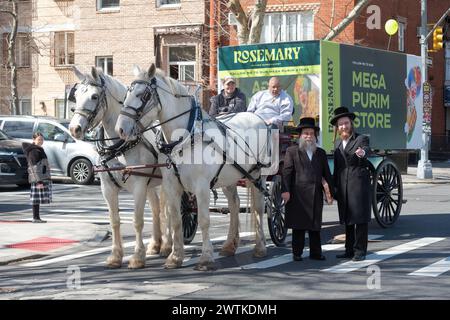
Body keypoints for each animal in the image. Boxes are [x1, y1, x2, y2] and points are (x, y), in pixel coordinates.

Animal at [68, 67, 172, 270]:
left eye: (94, 96)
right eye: (75, 96)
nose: (74, 128)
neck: (117, 147)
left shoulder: (138, 186)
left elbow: (137, 221)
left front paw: (137, 257)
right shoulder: (107, 188)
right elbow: (115, 220)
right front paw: (115, 256)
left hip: (164, 182)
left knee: (166, 210)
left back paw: (167, 246)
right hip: (150, 184)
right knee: (156, 209)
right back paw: (155, 245)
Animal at [116, 64, 270, 270]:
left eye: (144, 95)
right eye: (127, 94)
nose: (121, 129)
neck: (185, 138)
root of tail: (255, 116)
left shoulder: (202, 186)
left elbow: (204, 220)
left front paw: (206, 258)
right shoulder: (172, 185)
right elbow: (175, 220)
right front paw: (175, 257)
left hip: (257, 174)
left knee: (259, 208)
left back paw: (260, 247)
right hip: (229, 177)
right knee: (234, 204)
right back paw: (229, 246)